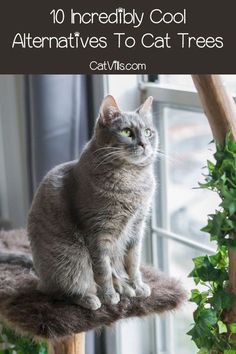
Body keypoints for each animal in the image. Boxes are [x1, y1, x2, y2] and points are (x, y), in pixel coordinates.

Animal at [1, 94, 158, 310]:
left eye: (148, 132)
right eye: (127, 132)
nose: (144, 143)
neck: (132, 180)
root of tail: (40, 275)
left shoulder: (136, 228)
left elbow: (133, 263)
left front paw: (138, 286)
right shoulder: (98, 233)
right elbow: (103, 270)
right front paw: (109, 296)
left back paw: (125, 288)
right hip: (70, 262)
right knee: (61, 291)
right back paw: (90, 298)